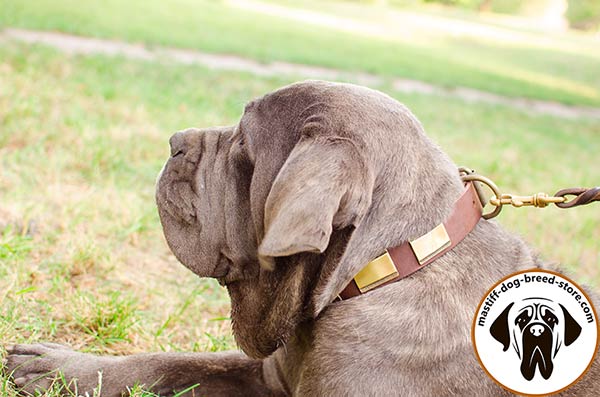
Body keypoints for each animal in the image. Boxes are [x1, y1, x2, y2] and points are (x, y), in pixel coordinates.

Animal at [4, 79, 600, 392]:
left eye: (244, 150)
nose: (176, 142)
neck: (382, 268)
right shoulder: (266, 376)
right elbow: (169, 361)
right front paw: (57, 366)